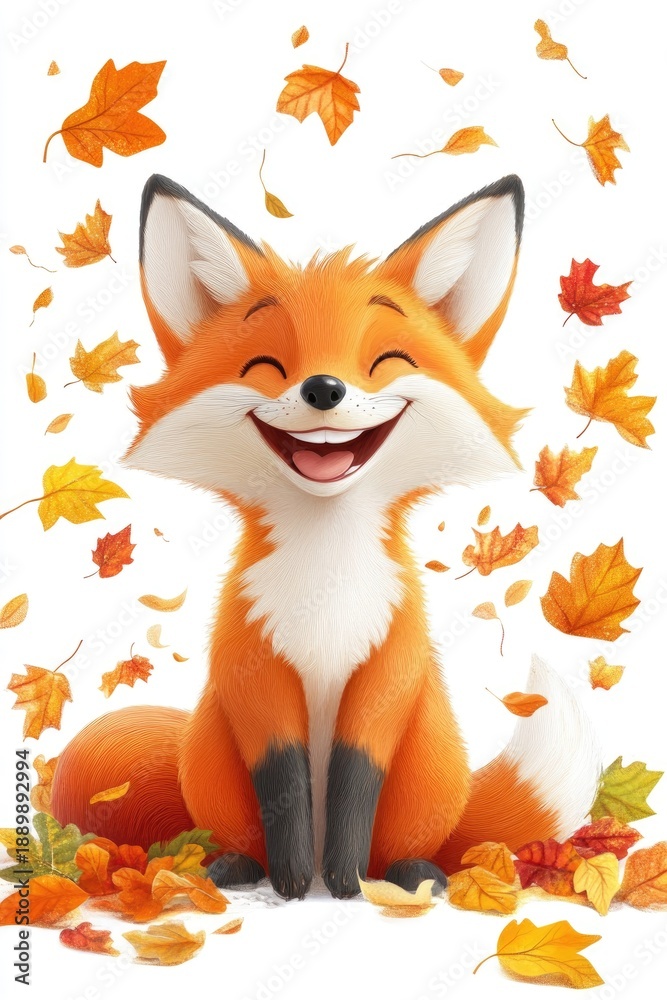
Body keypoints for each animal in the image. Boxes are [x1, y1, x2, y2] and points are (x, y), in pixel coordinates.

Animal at [50, 173, 601, 900]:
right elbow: (282, 776)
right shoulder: (252, 664)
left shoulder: (390, 665)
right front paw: (290, 882)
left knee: (415, 843)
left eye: (385, 361)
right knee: (240, 834)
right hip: (211, 756)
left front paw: (345, 880)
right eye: (265, 365)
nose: (324, 388)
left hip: (428, 764)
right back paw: (236, 868)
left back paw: (410, 874)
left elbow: (354, 776)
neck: (325, 576)